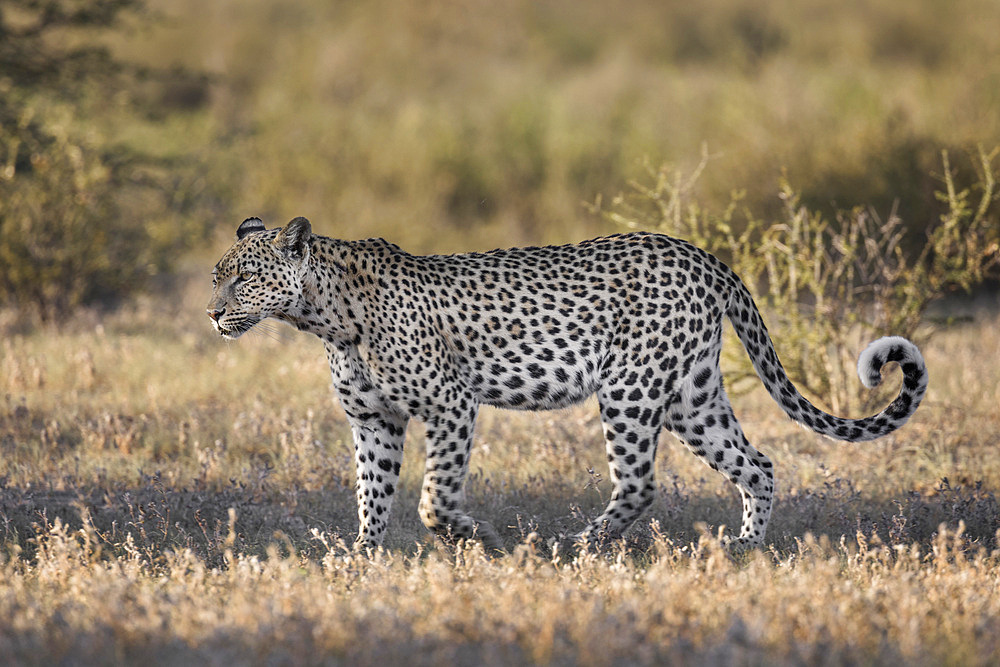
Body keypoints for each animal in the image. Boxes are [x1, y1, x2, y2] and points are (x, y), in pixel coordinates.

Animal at [205, 217, 928, 552]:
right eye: (217, 274)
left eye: (244, 276)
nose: (211, 313)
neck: (324, 317)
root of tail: (703, 254)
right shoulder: (374, 420)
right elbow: (372, 494)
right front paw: (360, 558)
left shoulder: (451, 405)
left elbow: (434, 496)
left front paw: (475, 538)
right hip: (693, 397)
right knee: (758, 463)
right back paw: (744, 549)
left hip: (632, 389)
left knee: (639, 481)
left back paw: (574, 547)